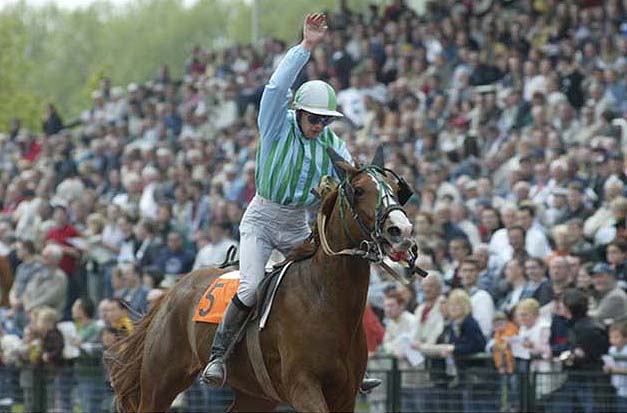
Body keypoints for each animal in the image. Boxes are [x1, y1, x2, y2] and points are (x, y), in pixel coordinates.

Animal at [107, 148, 419, 412]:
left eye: (395, 190)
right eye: (359, 190)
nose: (400, 230)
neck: (324, 298)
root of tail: (172, 291)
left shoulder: (345, 394)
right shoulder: (303, 386)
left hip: (255, 396)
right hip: (160, 381)